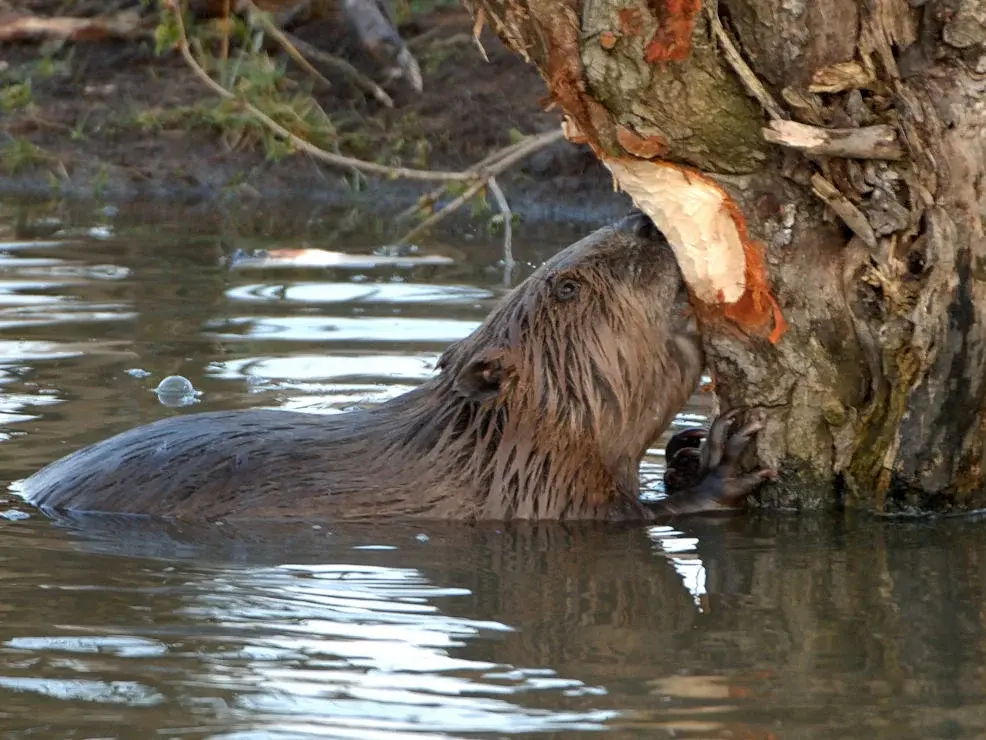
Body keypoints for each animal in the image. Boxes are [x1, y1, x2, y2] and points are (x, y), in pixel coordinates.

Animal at [21, 211, 768, 524]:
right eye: (565, 287)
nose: (645, 220)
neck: (494, 446)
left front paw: (685, 449)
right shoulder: (533, 497)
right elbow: (626, 518)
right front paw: (721, 463)